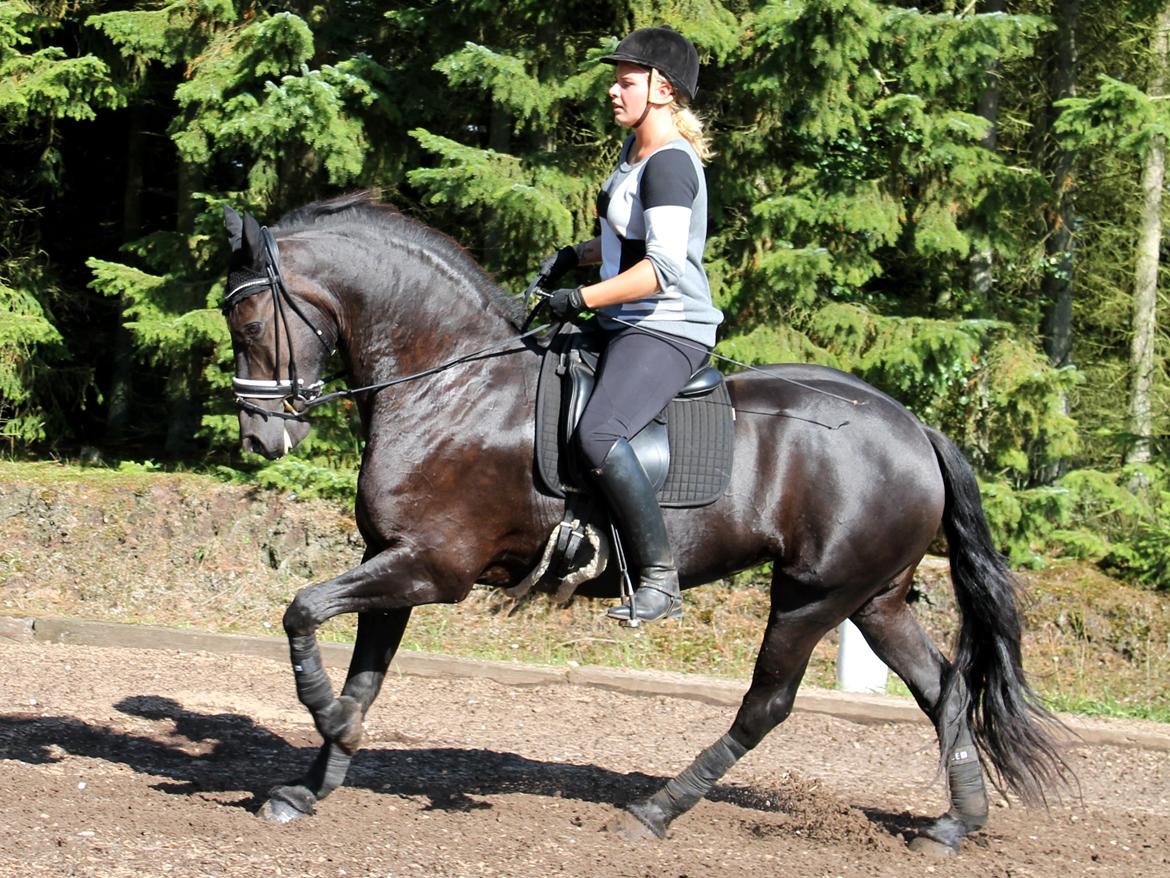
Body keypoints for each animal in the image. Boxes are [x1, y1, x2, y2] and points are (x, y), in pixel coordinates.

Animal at [221, 194, 1071, 861]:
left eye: (249, 319)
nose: (262, 438)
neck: (451, 382)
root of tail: (913, 428)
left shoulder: (431, 568)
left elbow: (302, 613)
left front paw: (325, 720)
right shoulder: (393, 560)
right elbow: (364, 673)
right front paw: (311, 785)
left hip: (811, 597)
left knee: (768, 706)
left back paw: (655, 810)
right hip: (874, 599)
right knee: (944, 688)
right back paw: (954, 824)